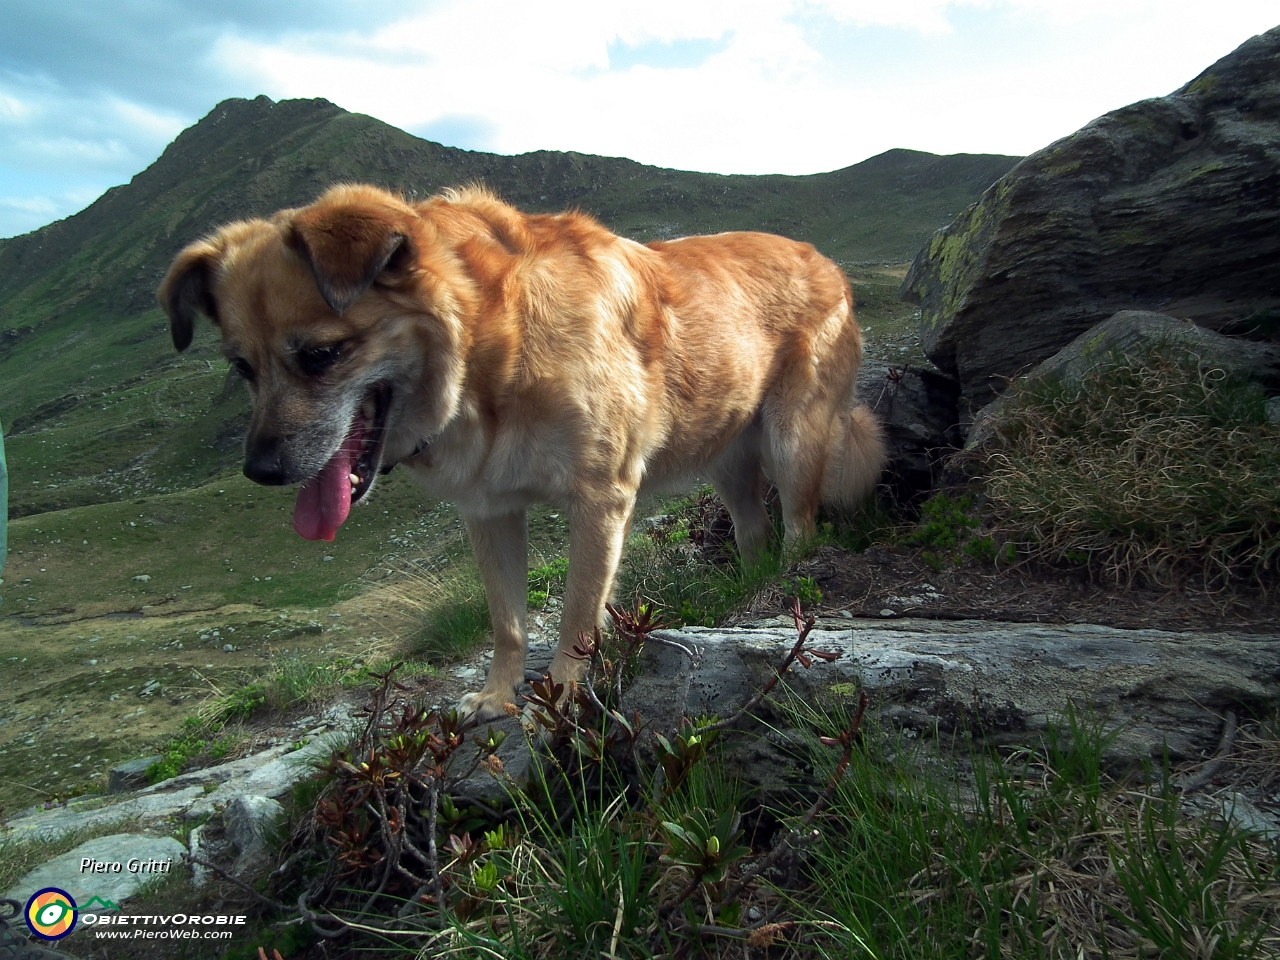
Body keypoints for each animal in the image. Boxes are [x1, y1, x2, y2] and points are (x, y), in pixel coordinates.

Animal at [157, 181, 880, 721]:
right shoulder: (490, 511)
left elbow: (579, 614)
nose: (261, 470)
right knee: (754, 528)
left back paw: (785, 589)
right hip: (727, 457)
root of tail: (824, 259)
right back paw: (746, 585)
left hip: (793, 439)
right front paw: (498, 695)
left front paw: (562, 691)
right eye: (242, 368)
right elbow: (506, 619)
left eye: (320, 354)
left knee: (801, 525)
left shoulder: (599, 501)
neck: (490, 346)